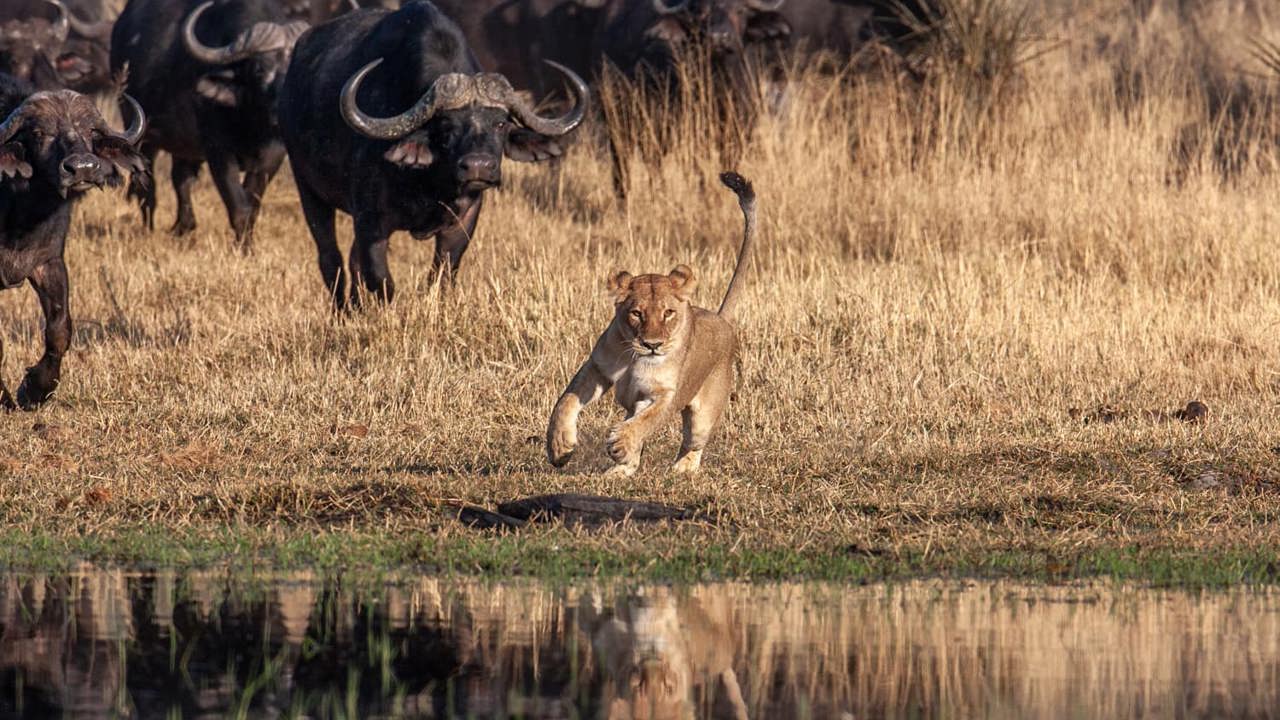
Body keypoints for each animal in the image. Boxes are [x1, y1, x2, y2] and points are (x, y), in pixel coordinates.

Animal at [0, 75, 147, 409]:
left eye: (89, 130)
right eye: (38, 132)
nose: (81, 168)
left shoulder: (49, 262)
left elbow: (60, 329)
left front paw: (36, 388)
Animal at [111, 0, 307, 248]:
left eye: (294, 66)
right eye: (259, 69)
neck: (250, 120)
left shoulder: (273, 155)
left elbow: (252, 203)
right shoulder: (218, 152)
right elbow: (238, 204)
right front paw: (244, 248)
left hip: (184, 146)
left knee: (181, 178)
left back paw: (183, 226)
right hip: (141, 133)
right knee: (147, 185)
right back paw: (149, 229)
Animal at [278, 1, 587, 309]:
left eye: (500, 123)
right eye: (446, 125)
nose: (478, 167)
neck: (430, 183)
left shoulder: (464, 219)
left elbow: (441, 276)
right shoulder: (369, 222)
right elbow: (382, 282)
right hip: (308, 189)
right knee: (331, 259)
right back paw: (342, 311)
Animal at [546, 172, 756, 476]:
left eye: (668, 313)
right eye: (636, 313)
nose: (652, 345)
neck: (633, 357)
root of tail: (721, 318)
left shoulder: (662, 394)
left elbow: (646, 420)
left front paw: (620, 442)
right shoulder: (597, 368)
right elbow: (566, 401)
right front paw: (560, 446)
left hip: (704, 416)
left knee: (694, 443)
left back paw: (680, 468)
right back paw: (619, 471)